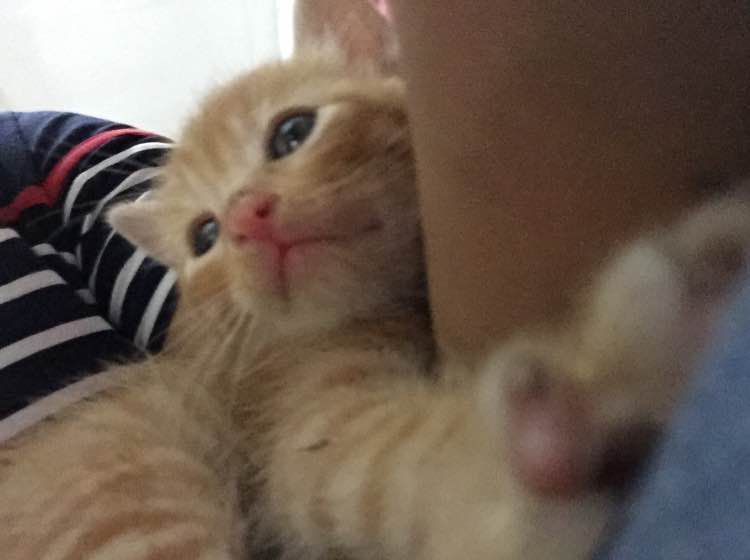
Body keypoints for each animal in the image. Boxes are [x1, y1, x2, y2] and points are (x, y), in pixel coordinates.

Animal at [2, 0, 750, 559]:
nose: (245, 218)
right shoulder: (295, 427)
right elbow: (379, 468)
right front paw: (558, 437)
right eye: (205, 237)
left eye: (293, 132)